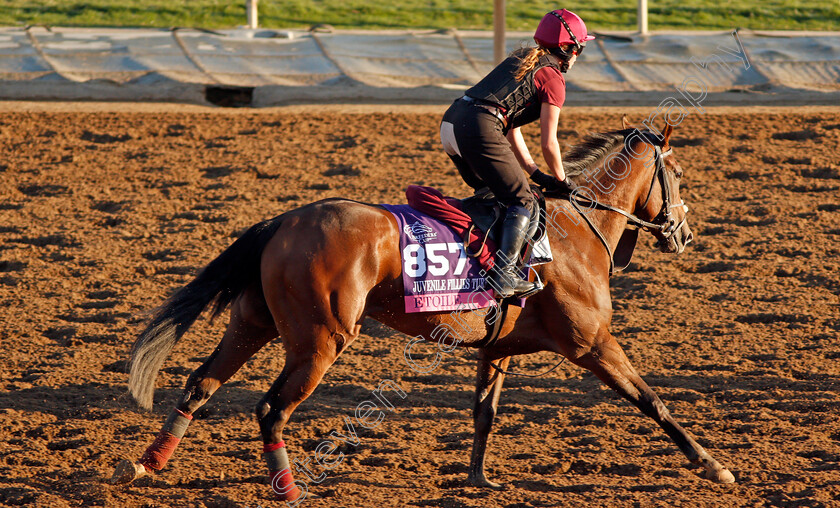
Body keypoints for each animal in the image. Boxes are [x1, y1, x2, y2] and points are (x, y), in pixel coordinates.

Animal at [113, 123, 736, 500]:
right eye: (678, 174)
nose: (684, 233)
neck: (569, 232)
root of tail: (281, 221)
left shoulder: (498, 348)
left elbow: (484, 414)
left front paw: (478, 478)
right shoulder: (593, 344)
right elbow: (653, 400)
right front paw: (713, 465)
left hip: (255, 323)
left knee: (201, 383)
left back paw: (144, 463)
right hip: (320, 340)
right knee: (270, 408)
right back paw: (287, 488)